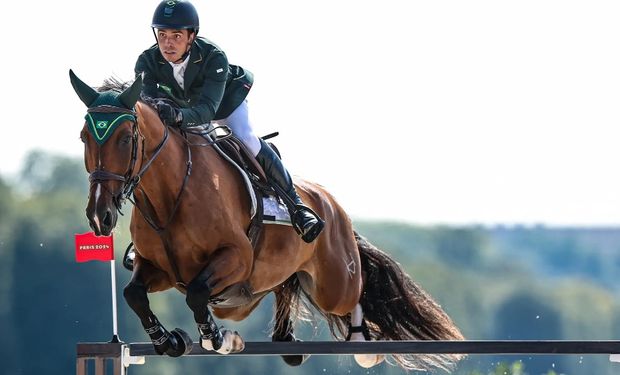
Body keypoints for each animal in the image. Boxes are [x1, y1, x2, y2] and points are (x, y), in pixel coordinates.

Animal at [68, 70, 464, 374]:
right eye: (85, 137)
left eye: (125, 138)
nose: (100, 216)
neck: (170, 196)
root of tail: (332, 205)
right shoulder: (160, 269)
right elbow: (134, 294)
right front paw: (169, 340)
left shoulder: (235, 258)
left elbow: (197, 293)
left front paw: (218, 339)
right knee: (284, 285)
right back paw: (287, 342)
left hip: (333, 282)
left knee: (353, 294)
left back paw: (364, 345)